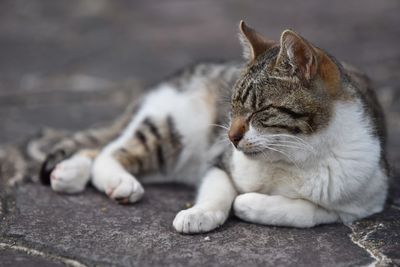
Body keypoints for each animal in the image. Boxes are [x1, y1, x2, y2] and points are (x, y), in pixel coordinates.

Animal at [39, 21, 388, 234]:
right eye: (232, 108)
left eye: (259, 110)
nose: (231, 137)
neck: (292, 158)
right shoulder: (219, 161)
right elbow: (218, 193)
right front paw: (199, 214)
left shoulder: (364, 202)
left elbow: (308, 211)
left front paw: (252, 203)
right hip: (174, 130)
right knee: (108, 150)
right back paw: (116, 182)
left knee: (99, 147)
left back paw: (69, 174)